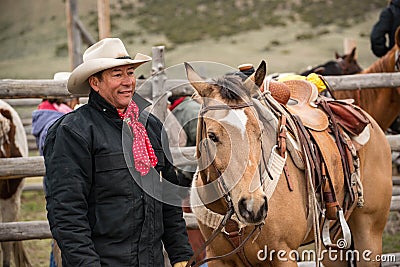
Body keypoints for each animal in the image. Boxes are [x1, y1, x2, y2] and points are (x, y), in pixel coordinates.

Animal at [186, 61, 392, 267]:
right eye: (212, 136)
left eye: (260, 132)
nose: (254, 206)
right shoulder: (218, 259)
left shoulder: (283, 254)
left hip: (369, 234)